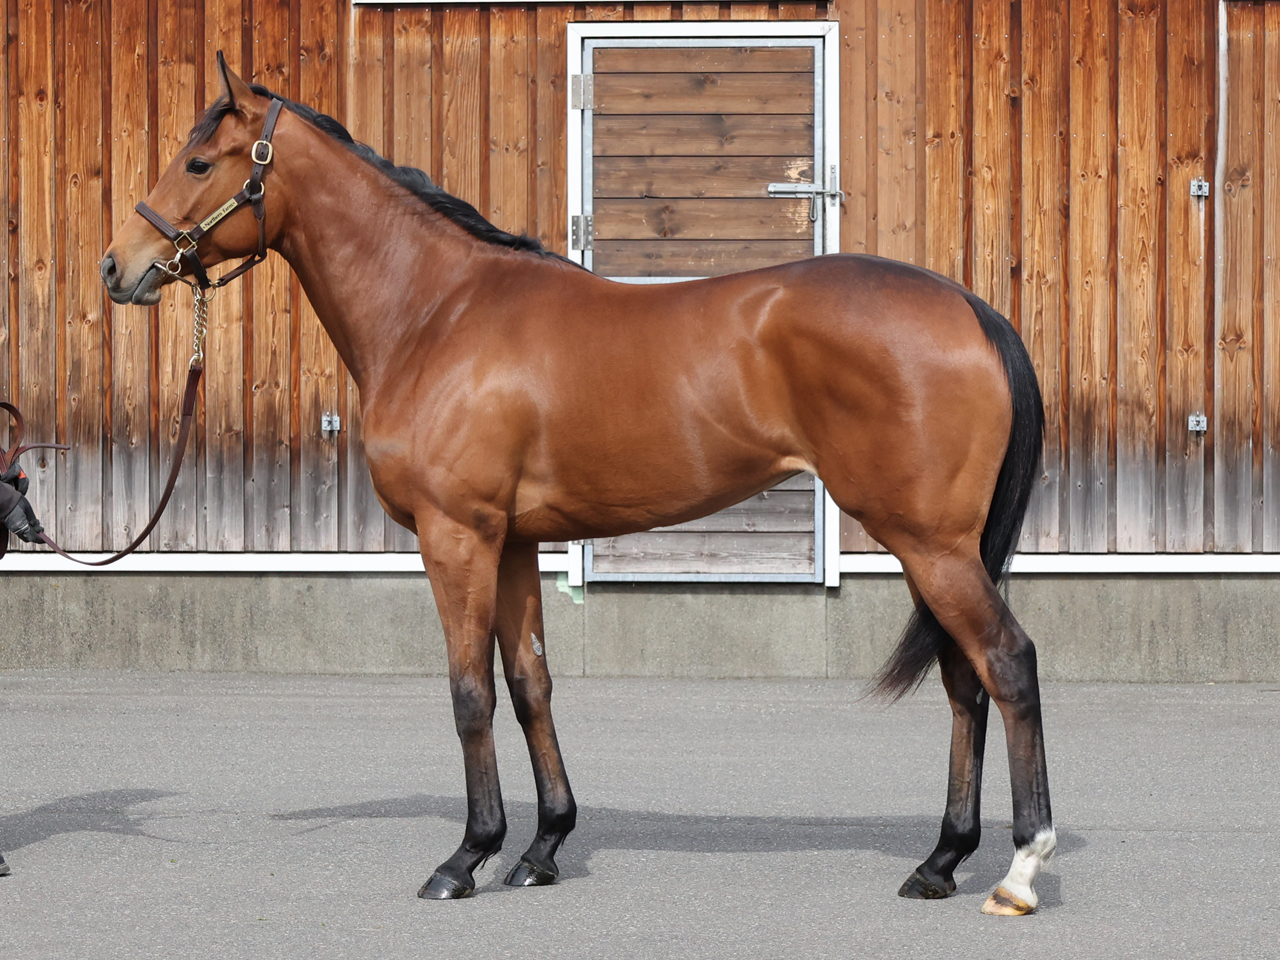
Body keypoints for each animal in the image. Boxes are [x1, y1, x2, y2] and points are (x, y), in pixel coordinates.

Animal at [98, 56, 1054, 915]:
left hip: (928, 542)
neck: (436, 311)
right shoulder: (514, 541)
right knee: (964, 679)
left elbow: (470, 693)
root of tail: (970, 308)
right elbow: (531, 685)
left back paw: (1017, 869)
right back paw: (939, 861)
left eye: (198, 162)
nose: (118, 266)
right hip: (938, 546)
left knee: (1005, 662)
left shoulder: (456, 537)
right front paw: (542, 847)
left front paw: (466, 858)